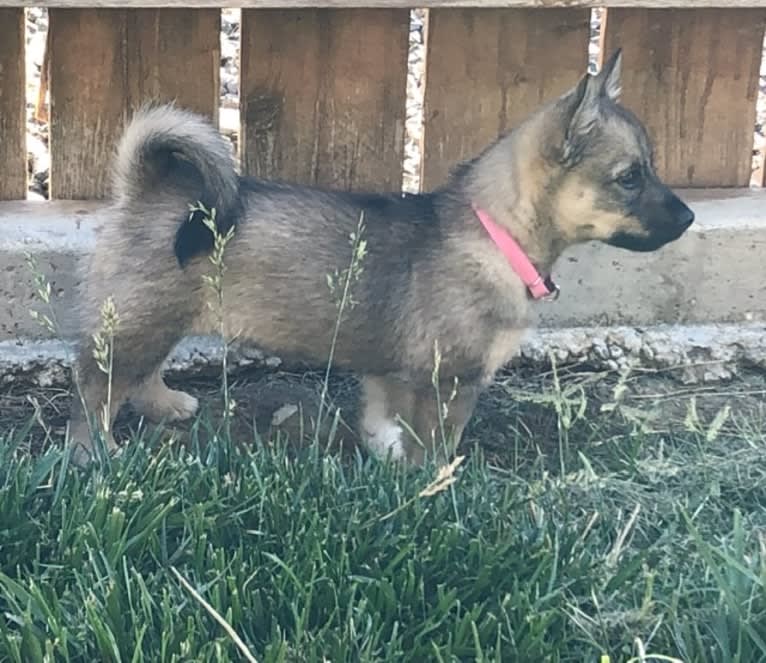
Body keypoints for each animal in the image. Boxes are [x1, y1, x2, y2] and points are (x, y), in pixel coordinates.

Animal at [67, 50, 696, 466]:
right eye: (630, 177)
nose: (690, 219)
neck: (497, 233)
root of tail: (142, 189)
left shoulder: (388, 374)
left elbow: (379, 419)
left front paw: (387, 462)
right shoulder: (448, 383)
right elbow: (437, 446)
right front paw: (435, 488)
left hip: (154, 317)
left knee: (136, 375)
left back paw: (165, 405)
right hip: (143, 319)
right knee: (98, 390)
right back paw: (97, 454)